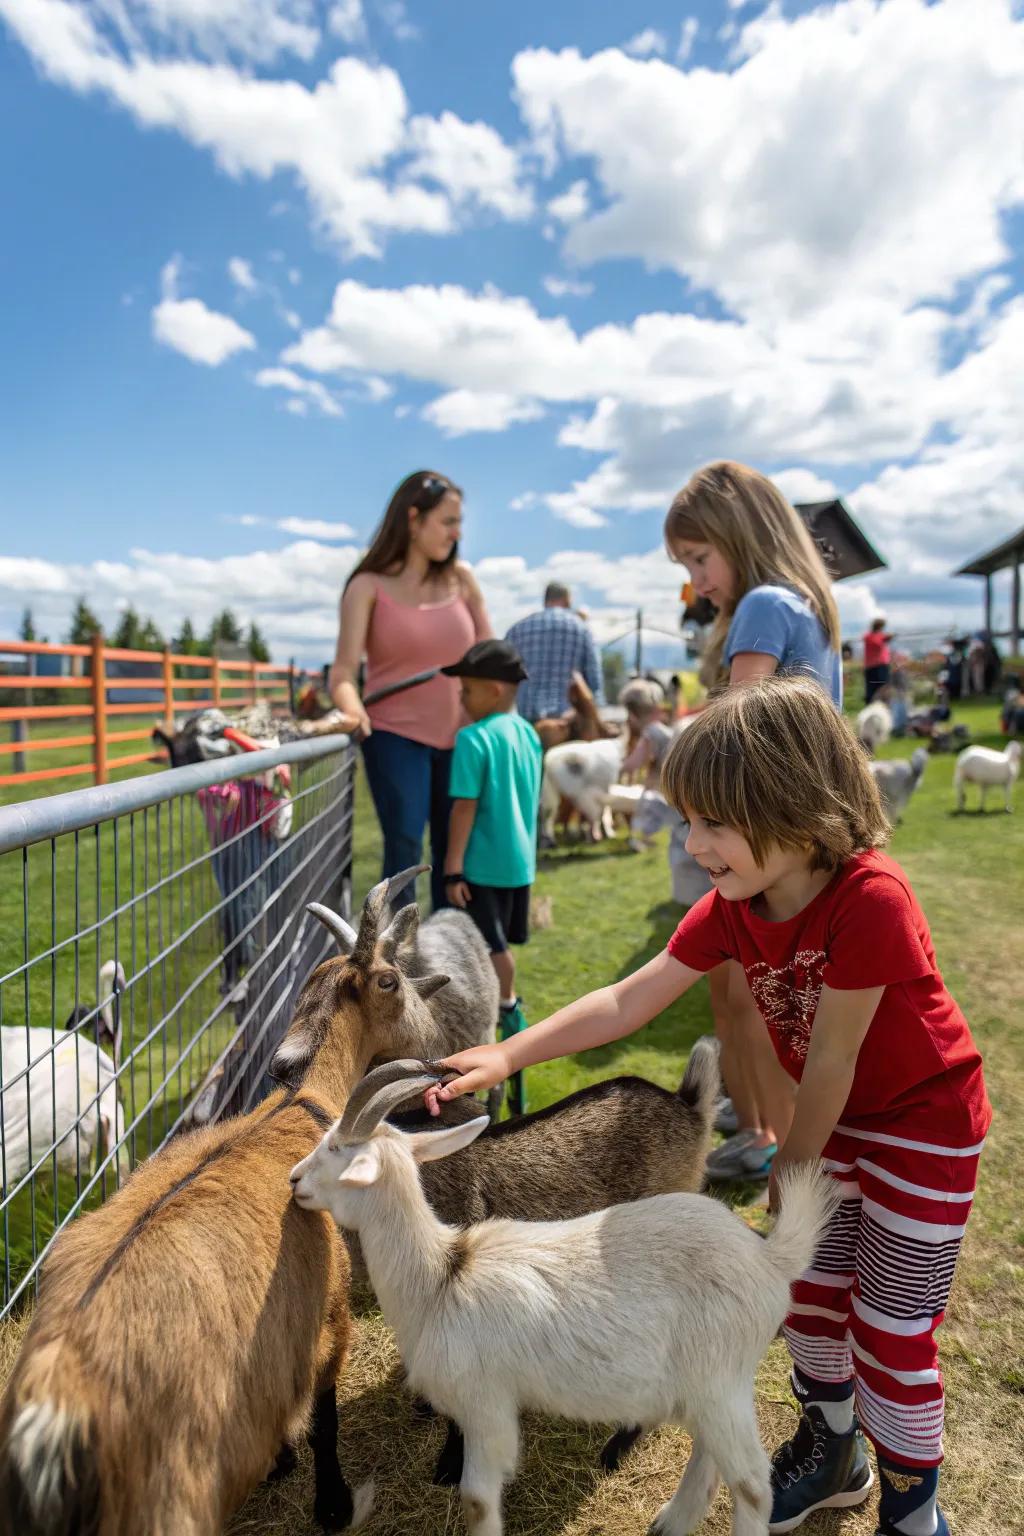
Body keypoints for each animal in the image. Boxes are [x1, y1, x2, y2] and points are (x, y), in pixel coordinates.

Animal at [290, 1062, 841, 1536]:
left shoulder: (484, 1407)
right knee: (710, 1455)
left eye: (334, 1146)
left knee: (751, 1485)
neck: (442, 1275)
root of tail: (770, 1257)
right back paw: (671, 1520)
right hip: (709, 1386)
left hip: (719, 1376)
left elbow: (477, 1499)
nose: (294, 1181)